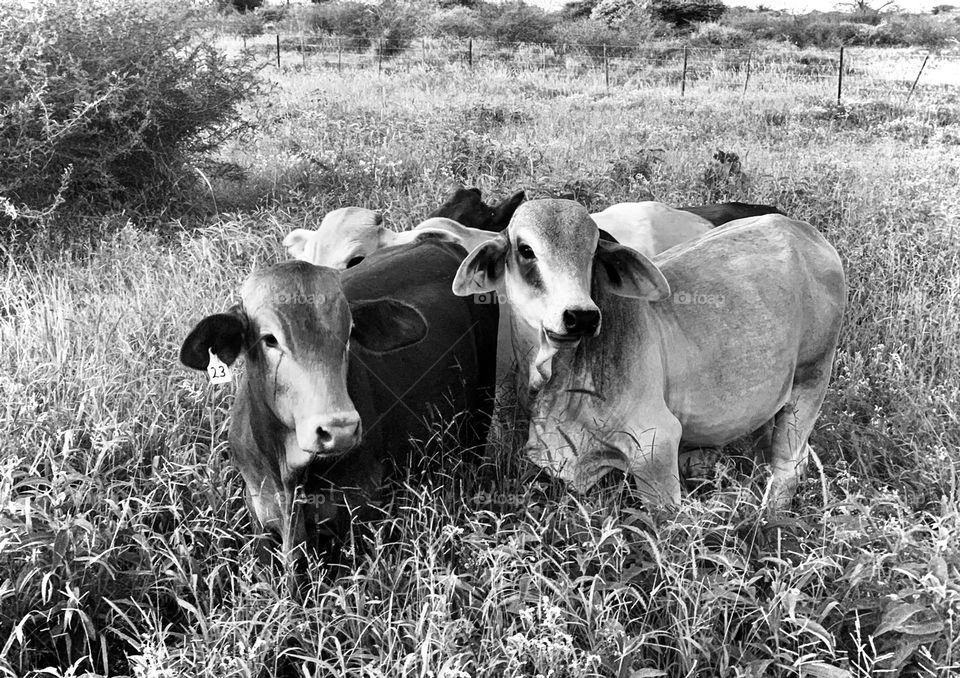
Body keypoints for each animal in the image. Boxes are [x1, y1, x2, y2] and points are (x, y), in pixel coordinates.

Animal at [177, 239, 498, 564]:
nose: (339, 429)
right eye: (270, 339)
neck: (290, 475)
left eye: (349, 332)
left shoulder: (360, 516)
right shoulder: (261, 519)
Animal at [452, 201, 848, 510]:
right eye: (525, 250)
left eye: (594, 251)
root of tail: (803, 230)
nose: (581, 316)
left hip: (811, 381)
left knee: (787, 466)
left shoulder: (656, 446)